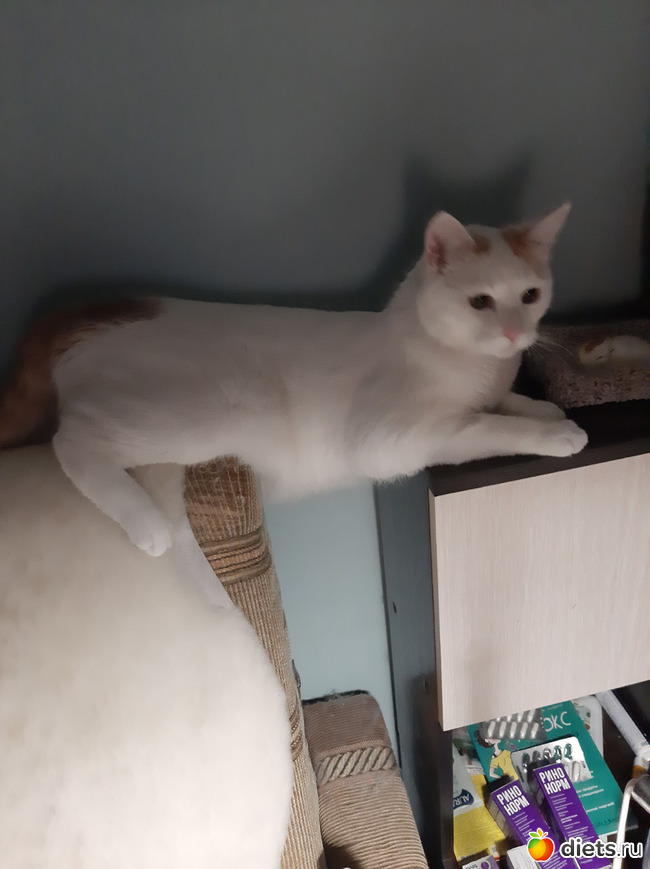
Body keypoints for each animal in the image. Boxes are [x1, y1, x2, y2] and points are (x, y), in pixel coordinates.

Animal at [0, 204, 587, 557]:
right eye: (480, 302)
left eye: (530, 295)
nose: (514, 333)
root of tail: (93, 311)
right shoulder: (394, 440)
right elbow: (486, 427)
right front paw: (555, 433)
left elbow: (505, 403)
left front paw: (542, 407)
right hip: (195, 417)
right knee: (70, 441)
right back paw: (146, 525)